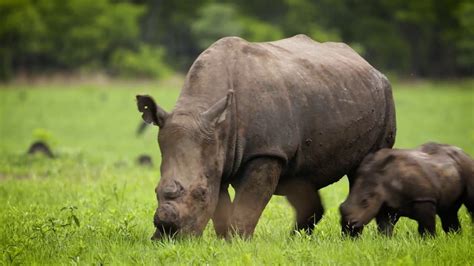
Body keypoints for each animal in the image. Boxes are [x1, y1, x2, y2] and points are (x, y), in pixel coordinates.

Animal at [137, 34, 396, 240]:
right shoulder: (217, 154)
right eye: (155, 190)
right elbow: (220, 205)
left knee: (368, 168)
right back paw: (296, 240)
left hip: (384, 95)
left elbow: (247, 205)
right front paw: (223, 241)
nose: (166, 237)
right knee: (301, 177)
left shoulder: (267, 151)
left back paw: (365, 239)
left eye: (200, 193)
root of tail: (368, 64)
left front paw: (237, 242)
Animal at [340, 142, 474, 236]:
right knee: (448, 210)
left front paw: (428, 241)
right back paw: (455, 237)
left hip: (468, 165)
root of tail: (465, 153)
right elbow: (385, 226)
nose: (349, 224)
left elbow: (426, 226)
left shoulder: (424, 198)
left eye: (365, 202)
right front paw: (385, 240)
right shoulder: (385, 204)